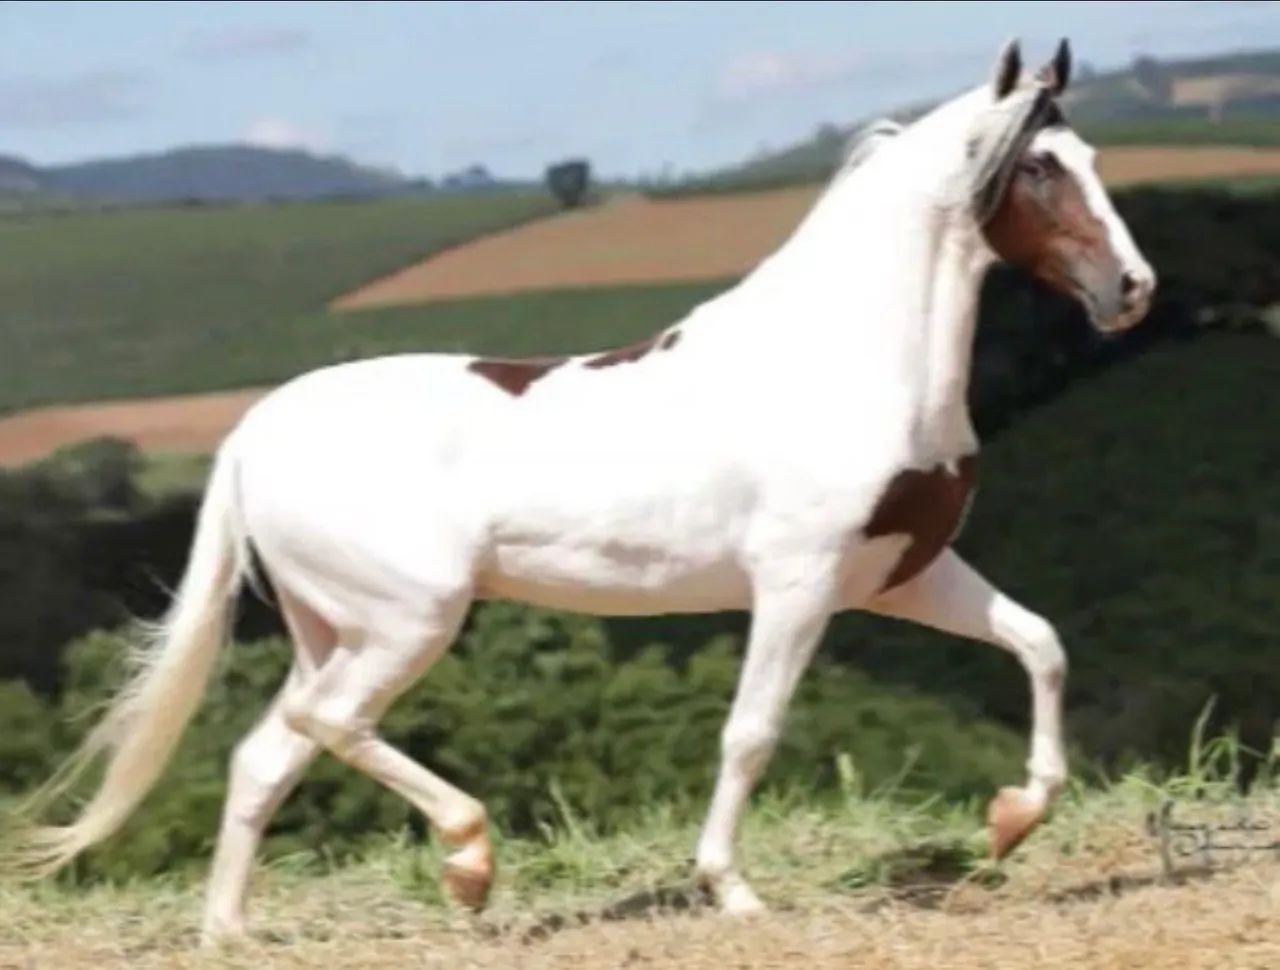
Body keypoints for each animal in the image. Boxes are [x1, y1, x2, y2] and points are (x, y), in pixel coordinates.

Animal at [14, 38, 1155, 943]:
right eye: (1039, 167)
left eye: (1095, 160)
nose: (1131, 292)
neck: (845, 359)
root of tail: (255, 432)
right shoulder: (798, 582)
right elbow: (750, 732)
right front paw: (730, 889)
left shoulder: (901, 575)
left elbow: (1041, 643)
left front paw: (1011, 818)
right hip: (408, 619)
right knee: (324, 726)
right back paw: (469, 864)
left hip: (330, 626)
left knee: (267, 752)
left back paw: (232, 930)